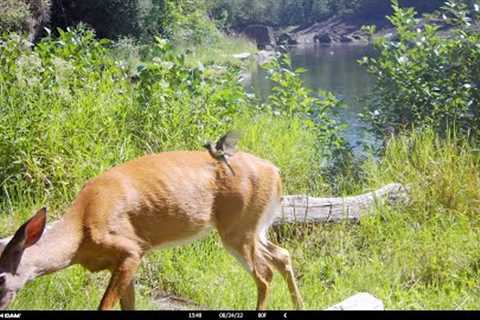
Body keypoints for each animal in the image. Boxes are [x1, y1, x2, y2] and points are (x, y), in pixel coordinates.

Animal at [0, 150, 304, 310]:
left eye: (1, 277)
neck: (81, 232)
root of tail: (275, 172)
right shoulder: (122, 262)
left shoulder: (131, 249)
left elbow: (104, 306)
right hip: (252, 227)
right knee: (282, 256)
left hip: (238, 228)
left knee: (264, 275)